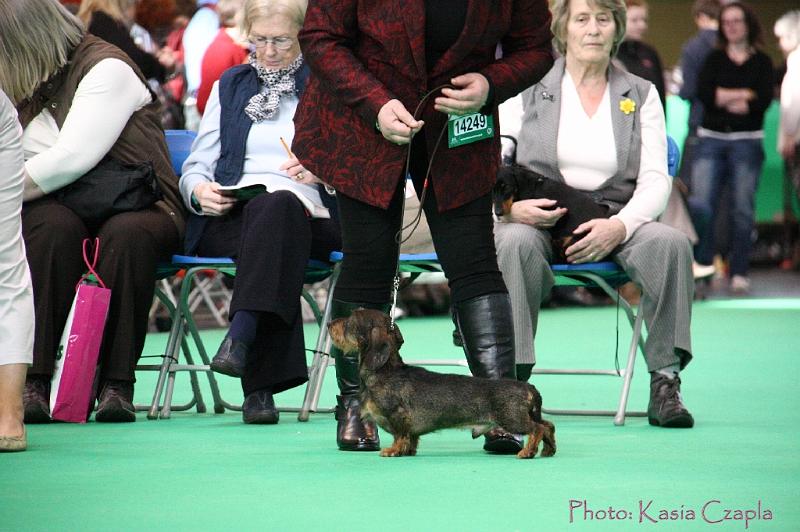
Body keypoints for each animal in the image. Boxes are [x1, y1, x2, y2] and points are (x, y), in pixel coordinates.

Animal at [326, 310, 556, 460]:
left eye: (349, 321)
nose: (329, 324)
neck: (385, 370)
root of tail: (529, 388)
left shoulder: (397, 415)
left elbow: (400, 436)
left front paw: (393, 450)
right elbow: (411, 438)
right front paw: (408, 451)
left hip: (512, 419)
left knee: (537, 428)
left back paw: (527, 452)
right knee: (548, 426)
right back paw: (548, 450)